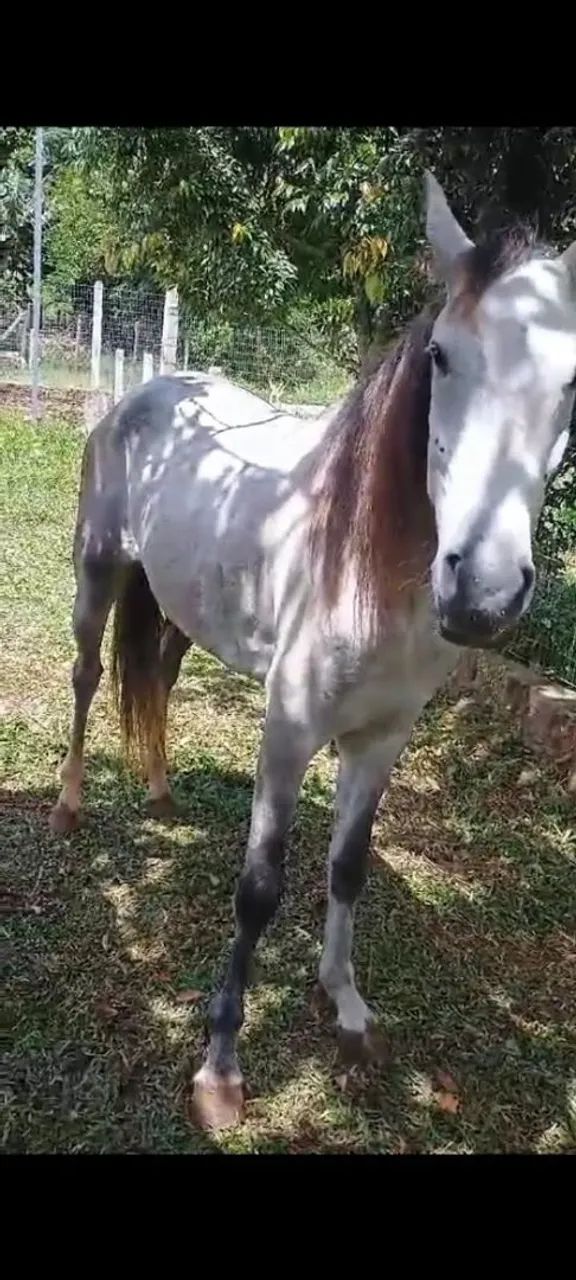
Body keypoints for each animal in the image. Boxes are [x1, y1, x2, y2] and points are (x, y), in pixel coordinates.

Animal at [50, 174, 576, 1129]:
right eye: (440, 356)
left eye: (572, 381)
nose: (481, 593)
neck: (375, 578)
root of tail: (152, 392)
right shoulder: (290, 732)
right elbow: (261, 888)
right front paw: (220, 1072)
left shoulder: (382, 739)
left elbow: (348, 867)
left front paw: (348, 1006)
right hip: (96, 571)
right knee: (88, 675)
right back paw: (71, 806)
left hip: (183, 606)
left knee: (160, 677)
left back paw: (161, 793)